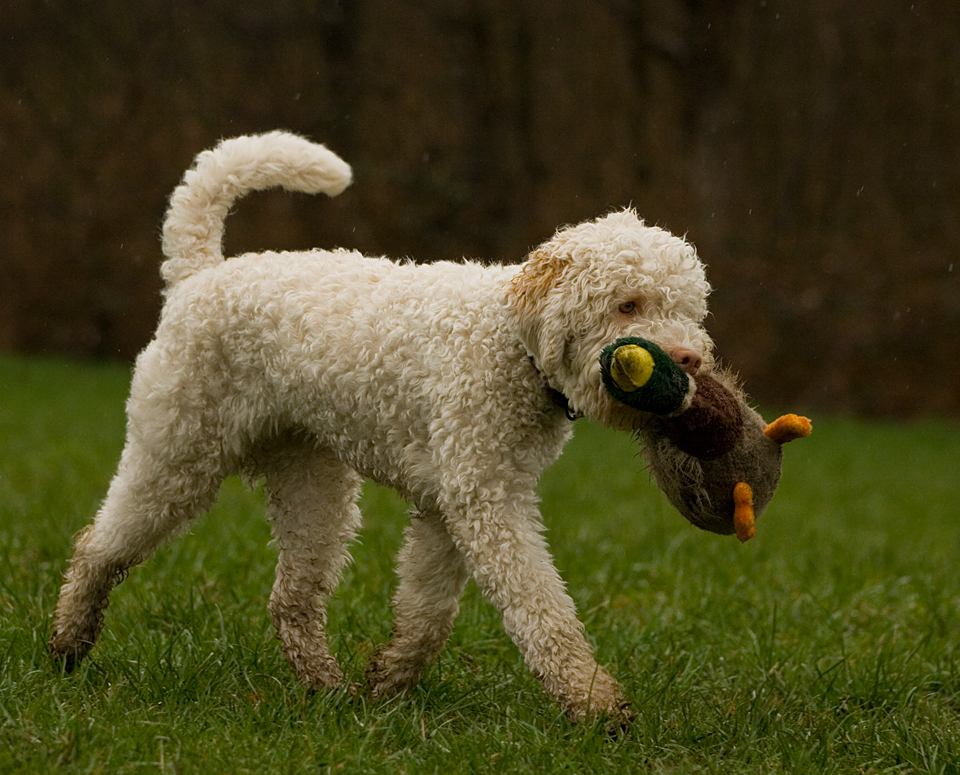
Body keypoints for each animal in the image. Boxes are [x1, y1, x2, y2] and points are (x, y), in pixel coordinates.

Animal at [50, 132, 712, 720]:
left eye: (689, 311)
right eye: (627, 305)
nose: (688, 360)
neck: (508, 340)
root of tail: (198, 274)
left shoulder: (453, 504)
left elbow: (428, 611)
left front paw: (389, 682)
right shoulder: (485, 499)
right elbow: (539, 606)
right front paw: (594, 702)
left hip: (312, 485)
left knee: (290, 600)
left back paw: (330, 690)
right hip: (177, 452)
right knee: (98, 545)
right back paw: (66, 646)